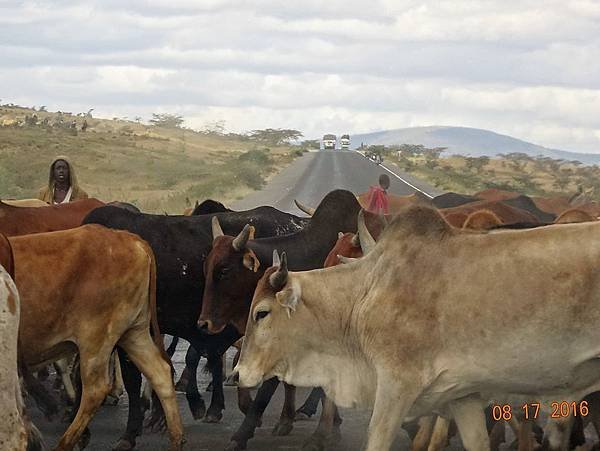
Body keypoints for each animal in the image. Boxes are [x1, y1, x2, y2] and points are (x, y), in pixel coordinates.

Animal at [11, 226, 183, 451]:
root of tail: (130, 238)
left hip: (96, 337)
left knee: (95, 390)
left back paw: (68, 441)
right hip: (134, 332)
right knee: (160, 373)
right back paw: (176, 439)